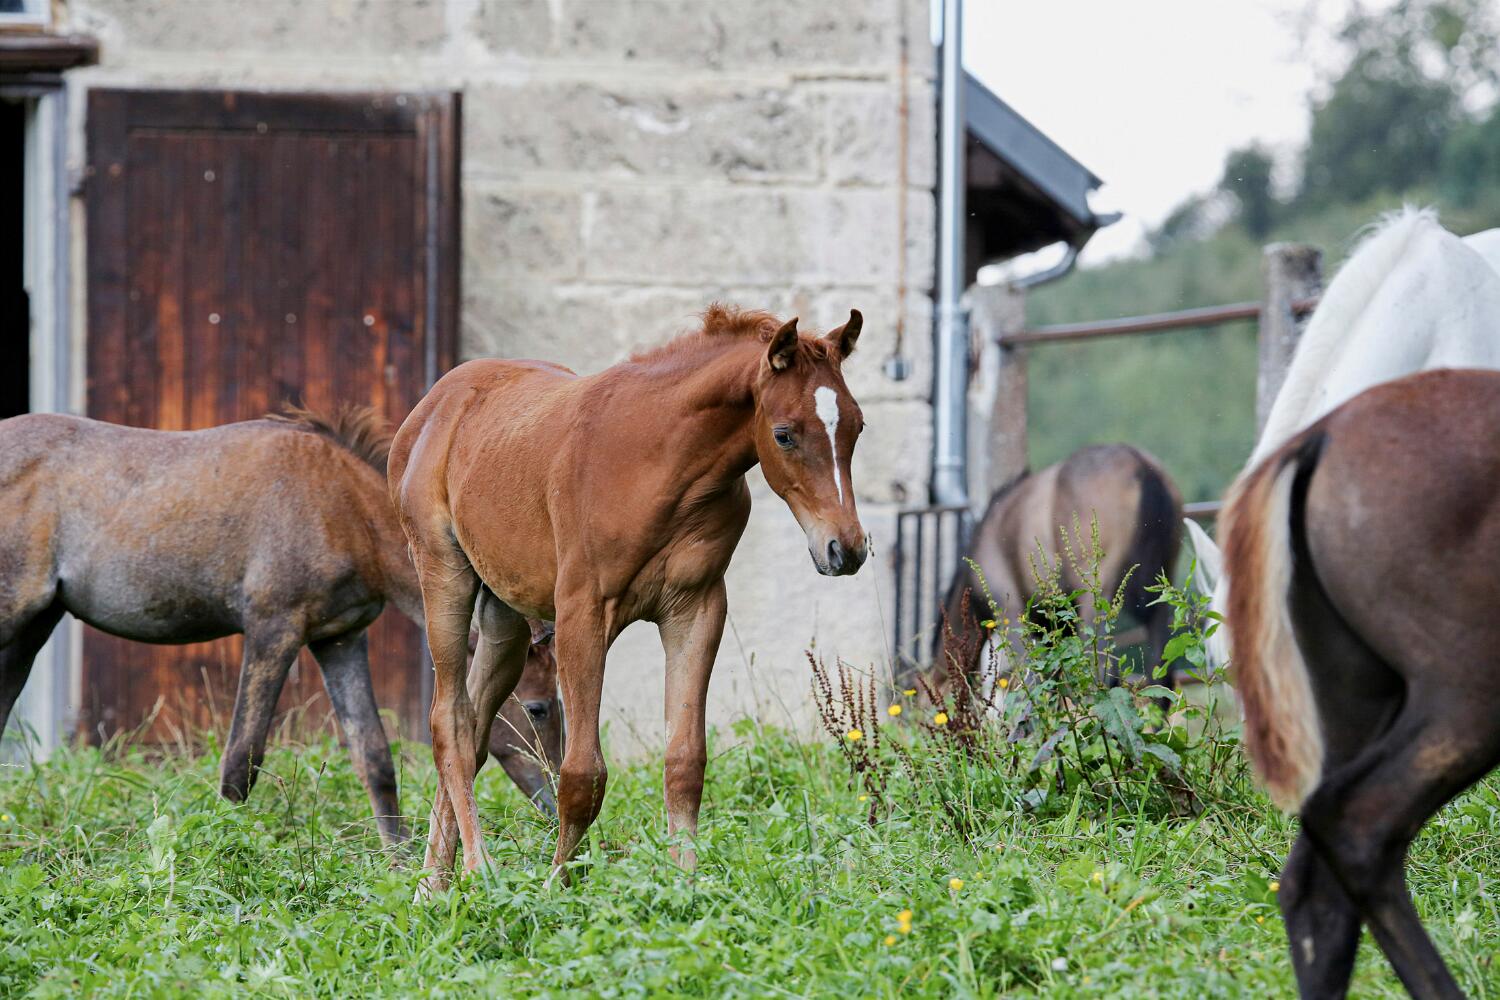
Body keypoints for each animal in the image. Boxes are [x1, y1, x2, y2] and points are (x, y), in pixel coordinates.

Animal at [0, 405, 558, 845]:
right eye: (537, 707)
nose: (553, 803)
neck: (344, 509)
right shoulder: (274, 629)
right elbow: (242, 759)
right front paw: (227, 853)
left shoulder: (340, 638)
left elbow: (374, 755)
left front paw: (397, 865)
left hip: (32, 627)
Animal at [389, 304, 868, 888]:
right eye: (783, 435)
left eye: (858, 425)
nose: (846, 549)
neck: (660, 466)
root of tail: (434, 403)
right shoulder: (581, 615)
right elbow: (582, 774)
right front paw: (556, 887)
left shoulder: (697, 610)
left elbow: (685, 761)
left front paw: (685, 885)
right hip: (444, 576)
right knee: (449, 722)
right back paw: (480, 874)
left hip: (505, 615)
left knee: (476, 725)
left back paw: (433, 887)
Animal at [925, 444, 1182, 696]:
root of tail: (1141, 466)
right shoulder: (1054, 630)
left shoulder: (1012, 615)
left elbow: (1030, 679)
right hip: (1161, 597)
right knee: (1161, 676)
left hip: (1096, 598)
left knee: (1099, 673)